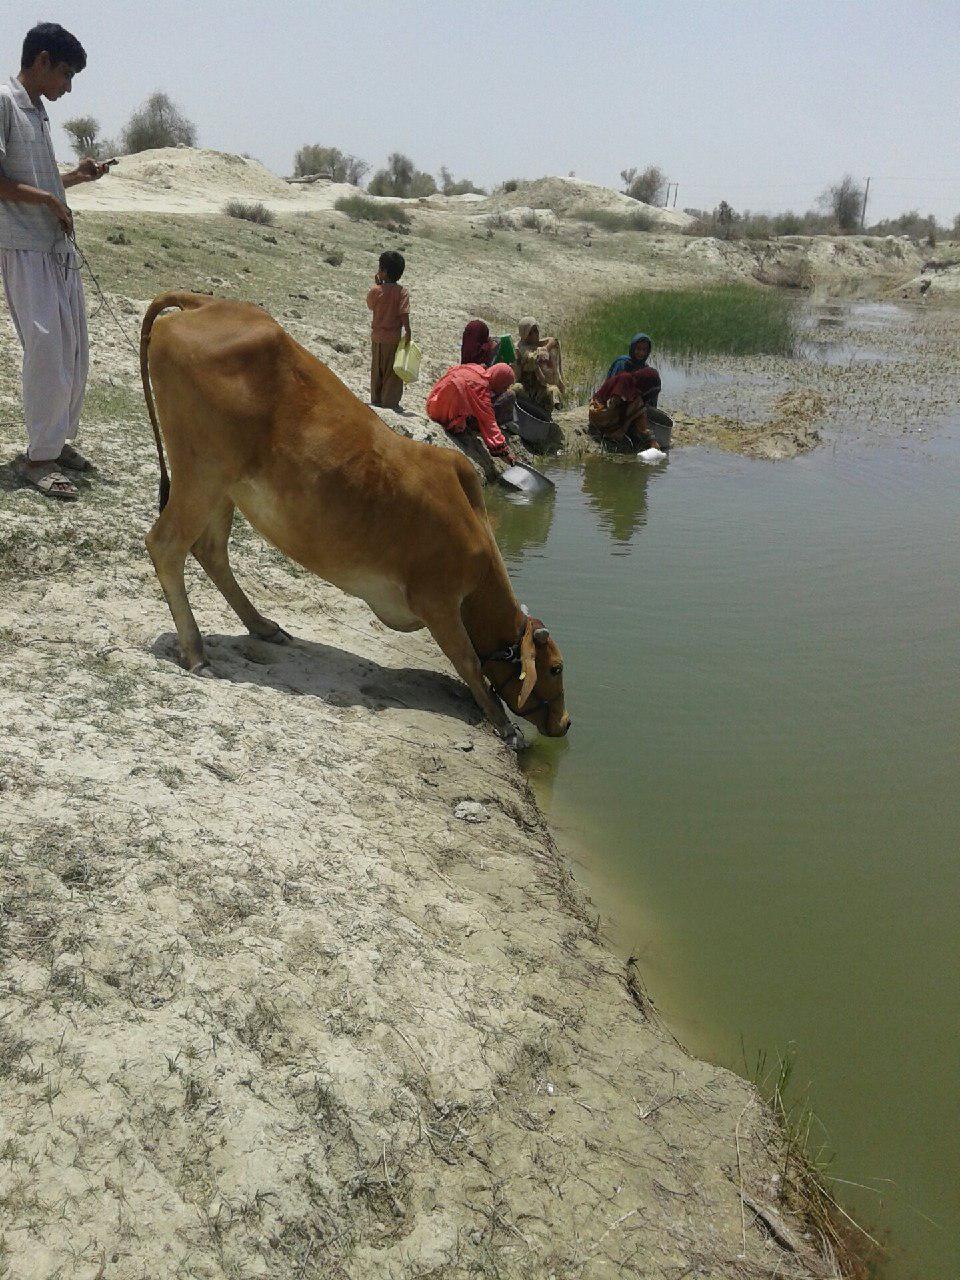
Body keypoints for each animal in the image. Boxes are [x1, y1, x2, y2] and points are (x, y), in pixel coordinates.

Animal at [138, 293, 568, 747]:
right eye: (555, 668)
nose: (566, 723)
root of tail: (206, 303)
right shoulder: (438, 601)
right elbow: (467, 660)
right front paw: (504, 724)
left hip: (223, 485)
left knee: (210, 550)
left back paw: (262, 626)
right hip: (201, 471)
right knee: (166, 544)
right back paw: (196, 651)